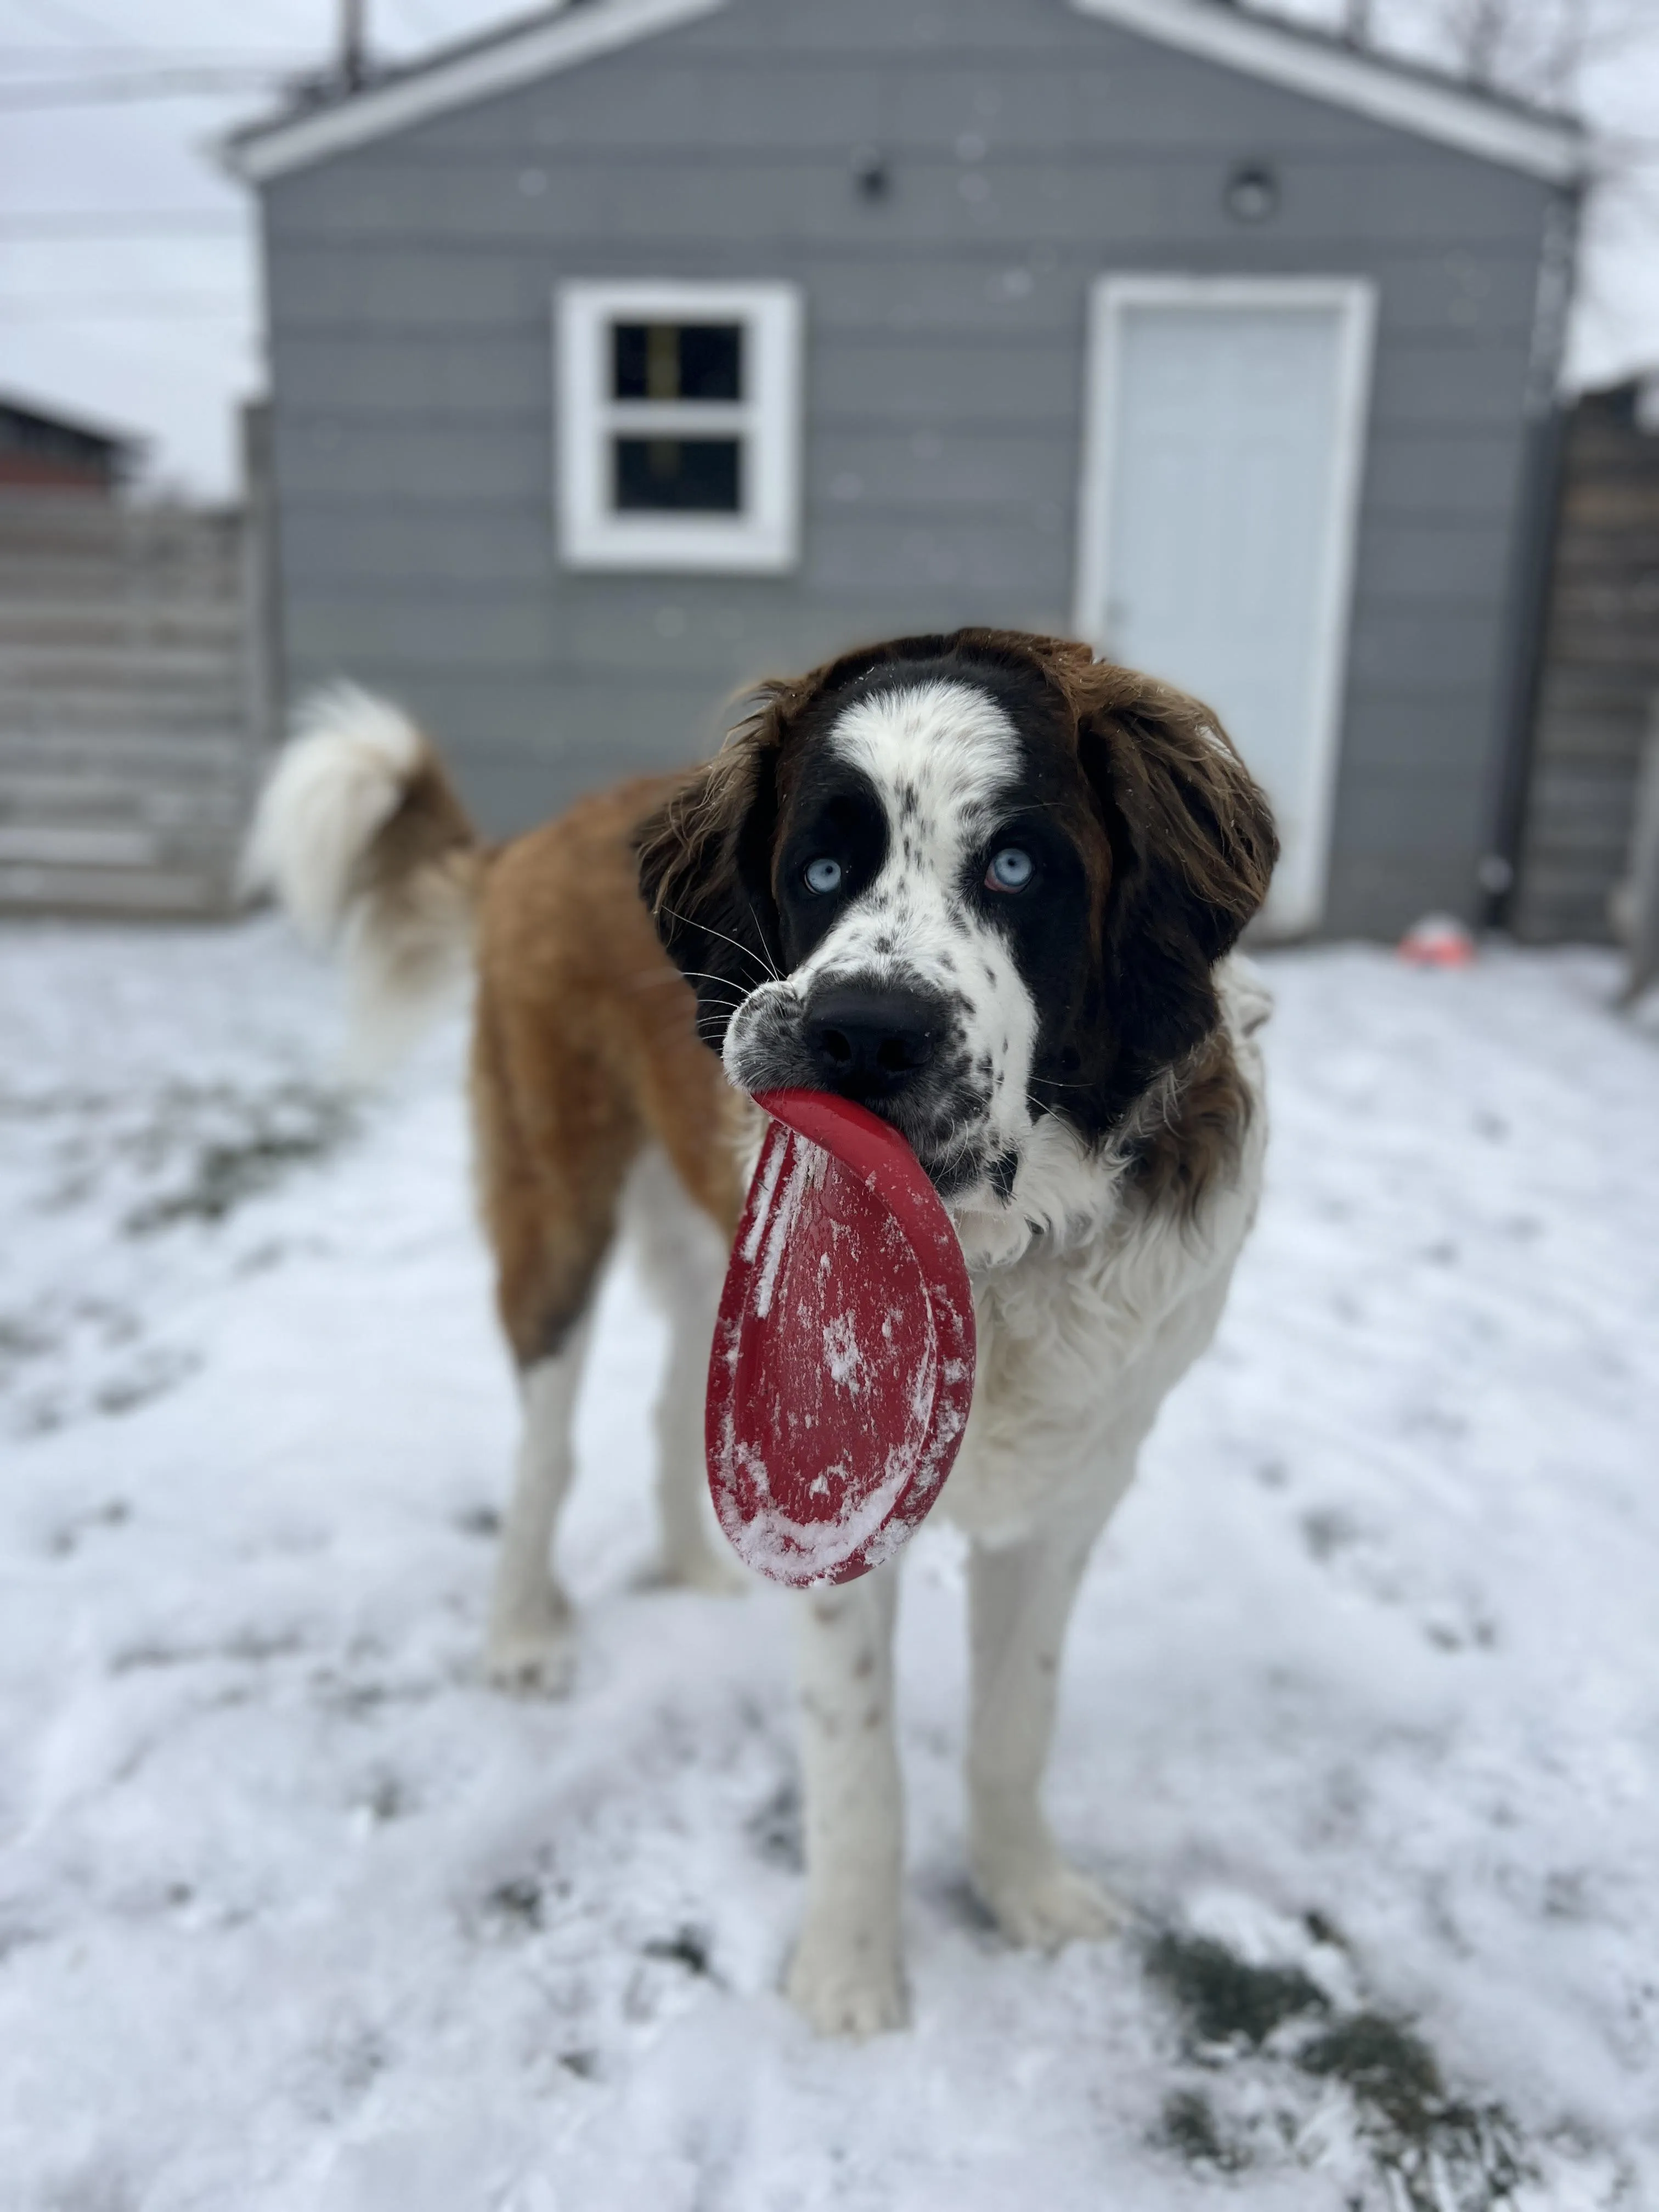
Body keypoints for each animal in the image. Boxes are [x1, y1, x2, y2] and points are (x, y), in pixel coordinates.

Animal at [250, 624, 1283, 2035]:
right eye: (823, 869)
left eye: (1017, 867)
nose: (865, 1034)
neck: (991, 1255)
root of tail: (542, 836)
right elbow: (859, 1760)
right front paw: (849, 1978)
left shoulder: (1074, 1491)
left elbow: (1015, 1723)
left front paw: (1027, 1897)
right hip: (559, 1204)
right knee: (545, 1445)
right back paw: (523, 1633)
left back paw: (695, 1570)